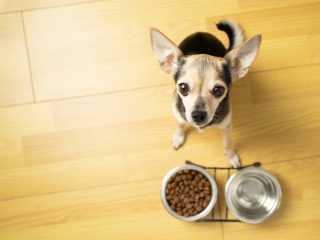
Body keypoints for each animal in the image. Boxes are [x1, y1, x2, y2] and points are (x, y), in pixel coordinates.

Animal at [149, 19, 262, 167]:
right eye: (183, 88)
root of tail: (200, 33)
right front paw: (179, 137)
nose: (198, 115)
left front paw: (231, 156)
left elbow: (227, 143)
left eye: (219, 90)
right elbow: (180, 124)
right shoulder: (178, 113)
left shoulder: (226, 126)